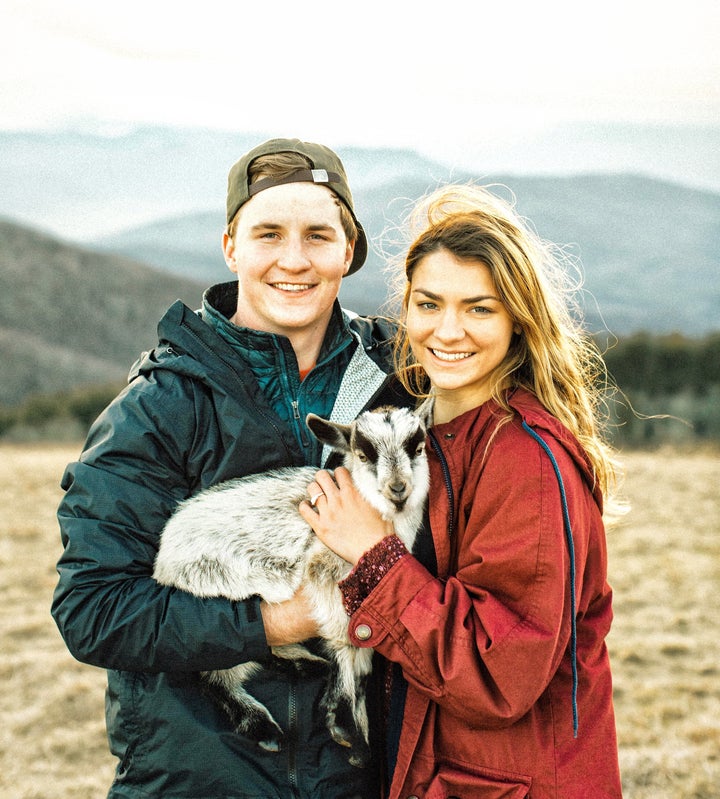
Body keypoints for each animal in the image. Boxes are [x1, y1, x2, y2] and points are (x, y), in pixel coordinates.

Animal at [153, 406, 428, 768]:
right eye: (363, 454)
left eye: (418, 449)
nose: (398, 489)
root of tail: (163, 554)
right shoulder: (327, 574)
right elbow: (345, 641)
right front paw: (348, 730)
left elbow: (364, 660)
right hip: (216, 595)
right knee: (214, 668)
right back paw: (264, 726)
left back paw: (304, 664)